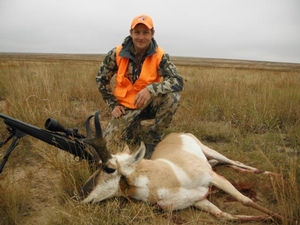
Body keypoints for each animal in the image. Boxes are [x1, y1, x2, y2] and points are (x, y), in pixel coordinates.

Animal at [79, 110, 282, 221]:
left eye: (109, 168)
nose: (79, 195)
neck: (167, 175)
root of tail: (174, 134)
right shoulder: (199, 200)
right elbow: (225, 215)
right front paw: (269, 217)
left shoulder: (214, 179)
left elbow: (245, 200)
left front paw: (282, 217)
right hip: (210, 160)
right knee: (222, 164)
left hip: (209, 150)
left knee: (233, 161)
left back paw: (274, 175)